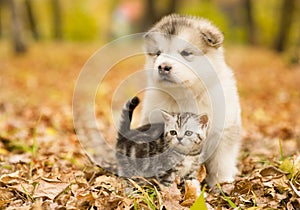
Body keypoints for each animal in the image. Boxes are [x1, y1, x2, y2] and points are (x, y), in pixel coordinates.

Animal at [141, 13, 241, 186]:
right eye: (158, 53)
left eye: (186, 53)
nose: (163, 66)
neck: (186, 96)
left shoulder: (223, 130)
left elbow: (221, 162)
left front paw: (222, 184)